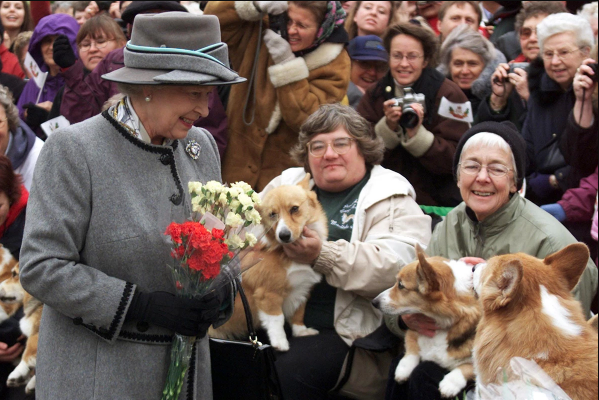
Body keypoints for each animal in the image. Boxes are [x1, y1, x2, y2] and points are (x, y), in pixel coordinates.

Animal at [210, 173, 328, 352]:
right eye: (272, 214)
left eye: (294, 209)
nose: (284, 235)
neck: (286, 253)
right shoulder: (268, 294)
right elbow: (277, 320)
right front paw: (280, 343)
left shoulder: (302, 290)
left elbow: (298, 314)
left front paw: (301, 332)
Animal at [372, 245, 480, 398]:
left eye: (401, 285)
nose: (374, 302)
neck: (441, 321)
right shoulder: (414, 327)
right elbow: (412, 347)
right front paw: (403, 368)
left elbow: (468, 367)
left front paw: (450, 384)